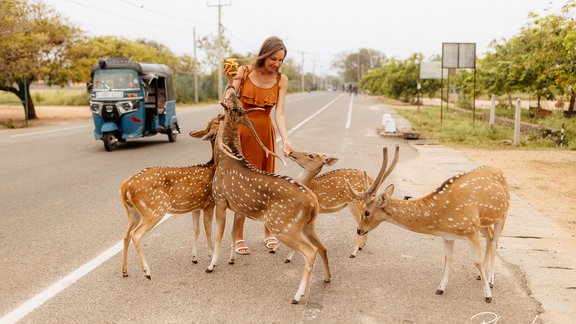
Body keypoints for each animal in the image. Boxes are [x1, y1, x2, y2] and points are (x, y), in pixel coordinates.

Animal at [120, 117, 222, 280]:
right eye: (217, 121)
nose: (220, 114)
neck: (213, 167)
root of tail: (125, 187)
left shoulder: (196, 206)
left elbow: (196, 229)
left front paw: (194, 257)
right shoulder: (209, 203)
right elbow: (208, 229)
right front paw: (210, 256)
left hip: (132, 212)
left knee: (125, 236)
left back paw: (124, 271)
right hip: (155, 208)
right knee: (135, 234)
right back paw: (147, 272)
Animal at [209, 90, 330, 306]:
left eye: (226, 106)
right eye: (236, 102)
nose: (232, 88)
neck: (226, 157)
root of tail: (312, 202)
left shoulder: (220, 199)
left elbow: (219, 234)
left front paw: (211, 265)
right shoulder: (238, 207)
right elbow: (233, 233)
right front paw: (232, 259)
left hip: (282, 224)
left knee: (310, 251)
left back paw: (297, 296)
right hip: (307, 225)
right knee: (321, 247)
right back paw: (317, 285)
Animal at [348, 146, 510, 302]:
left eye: (366, 212)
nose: (359, 230)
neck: (439, 217)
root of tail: (500, 171)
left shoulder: (471, 229)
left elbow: (476, 261)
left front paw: (488, 295)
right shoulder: (448, 236)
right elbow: (447, 259)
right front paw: (440, 288)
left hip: (503, 214)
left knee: (495, 242)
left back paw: (491, 280)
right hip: (484, 222)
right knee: (489, 237)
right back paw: (480, 275)